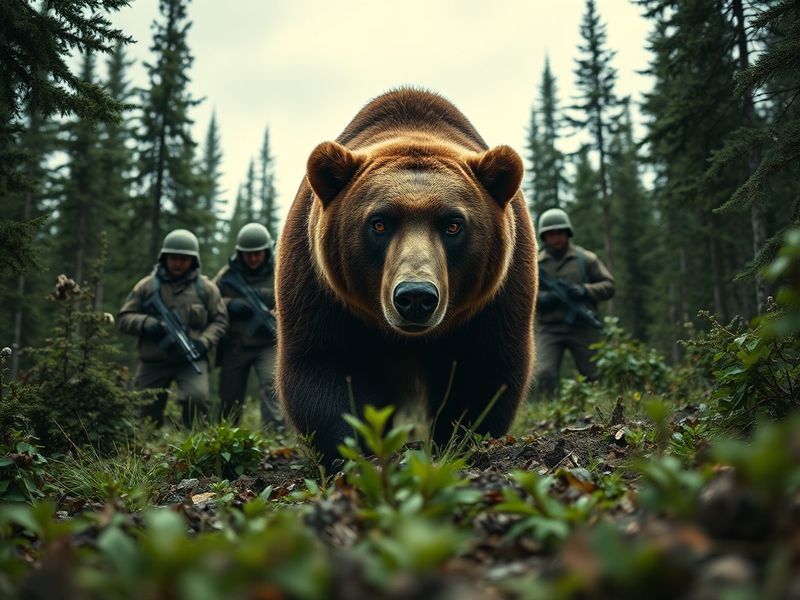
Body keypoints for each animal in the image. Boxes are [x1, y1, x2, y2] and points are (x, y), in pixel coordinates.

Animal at [275, 88, 537, 466]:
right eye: (379, 223)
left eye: (453, 224)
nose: (415, 296)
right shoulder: (321, 290)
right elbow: (325, 365)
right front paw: (354, 451)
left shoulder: (495, 300)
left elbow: (482, 373)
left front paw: (457, 443)